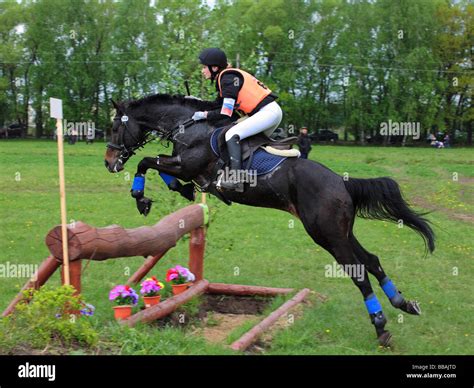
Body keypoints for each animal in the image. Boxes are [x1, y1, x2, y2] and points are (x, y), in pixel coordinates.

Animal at [105, 93, 436, 346]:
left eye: (114, 128)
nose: (109, 163)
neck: (188, 127)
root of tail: (342, 182)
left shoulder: (187, 165)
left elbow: (145, 161)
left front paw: (142, 198)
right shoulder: (183, 167)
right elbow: (157, 165)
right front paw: (178, 191)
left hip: (326, 233)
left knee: (359, 272)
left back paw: (381, 328)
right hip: (341, 231)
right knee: (372, 261)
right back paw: (404, 304)